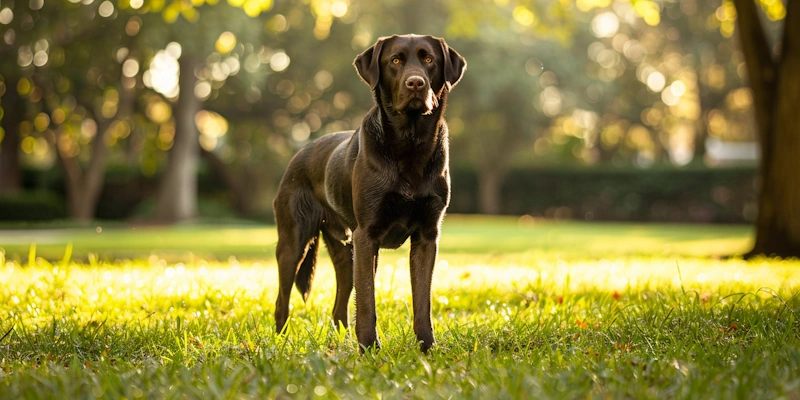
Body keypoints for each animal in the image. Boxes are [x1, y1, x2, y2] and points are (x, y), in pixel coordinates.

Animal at [272, 34, 466, 354]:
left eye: (429, 60)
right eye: (395, 60)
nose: (416, 83)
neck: (409, 145)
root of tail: (298, 154)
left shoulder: (426, 237)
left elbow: (422, 301)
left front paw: (427, 348)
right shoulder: (367, 236)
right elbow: (366, 302)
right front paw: (369, 349)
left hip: (344, 250)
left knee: (339, 305)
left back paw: (340, 341)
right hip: (294, 242)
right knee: (281, 300)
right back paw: (280, 341)